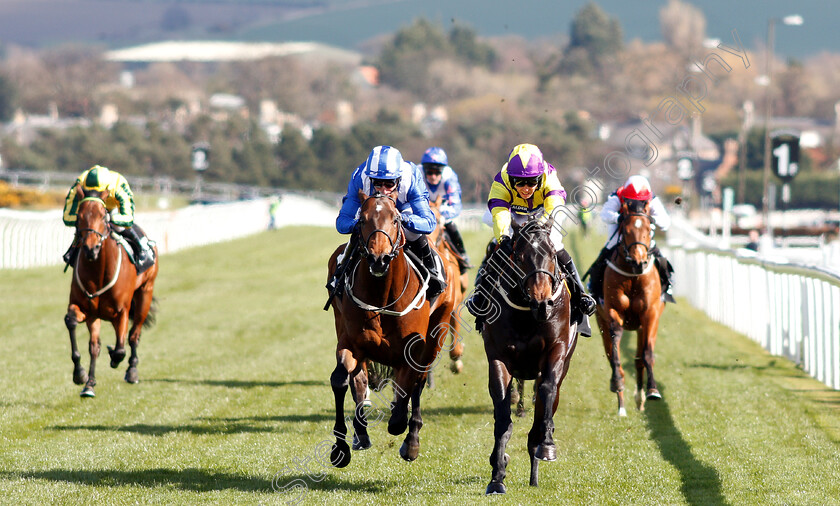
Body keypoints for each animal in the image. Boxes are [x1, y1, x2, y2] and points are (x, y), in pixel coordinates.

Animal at [65, 185, 158, 396]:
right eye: (79, 216)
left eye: (102, 216)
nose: (91, 248)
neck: (98, 272)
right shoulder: (88, 311)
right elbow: (75, 326)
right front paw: (82, 376)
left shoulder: (122, 311)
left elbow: (121, 348)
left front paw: (116, 358)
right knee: (98, 344)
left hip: (145, 294)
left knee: (134, 335)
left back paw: (131, 370)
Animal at [326, 191, 456, 466]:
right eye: (362, 220)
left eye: (396, 220)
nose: (379, 258)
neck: (382, 295)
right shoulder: (351, 343)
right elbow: (341, 380)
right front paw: (341, 447)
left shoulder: (412, 349)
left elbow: (408, 389)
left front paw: (402, 425)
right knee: (360, 379)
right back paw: (362, 433)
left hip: (438, 330)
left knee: (418, 381)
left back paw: (411, 440)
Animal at [480, 217, 576, 494]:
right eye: (521, 257)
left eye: (553, 255)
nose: (543, 303)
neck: (526, 314)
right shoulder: (498, 358)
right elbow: (502, 417)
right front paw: (497, 475)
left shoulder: (556, 349)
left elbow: (546, 391)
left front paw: (547, 445)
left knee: (546, 402)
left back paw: (537, 461)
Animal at [592, 198, 668, 416]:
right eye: (625, 230)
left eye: (649, 230)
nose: (638, 261)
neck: (633, 276)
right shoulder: (612, 312)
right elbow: (616, 350)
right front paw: (617, 382)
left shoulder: (650, 315)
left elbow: (647, 355)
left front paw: (652, 390)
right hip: (601, 321)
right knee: (611, 353)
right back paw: (621, 405)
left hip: (643, 327)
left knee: (639, 359)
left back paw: (640, 400)